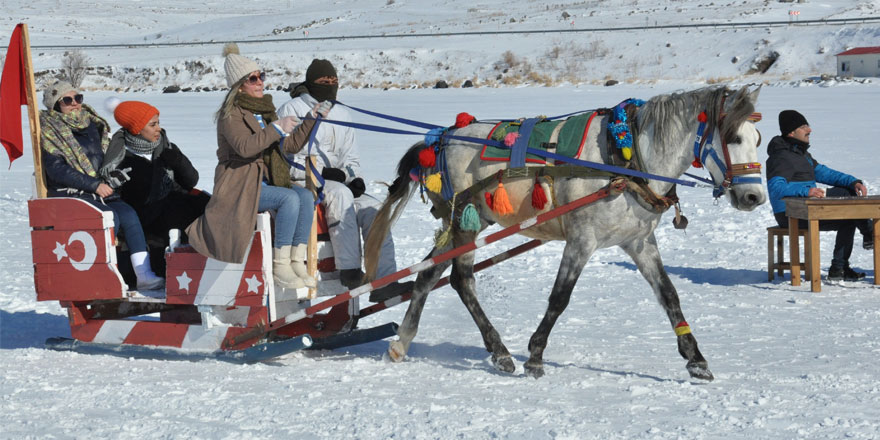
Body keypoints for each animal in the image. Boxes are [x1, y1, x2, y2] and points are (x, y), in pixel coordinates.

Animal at [362, 85, 764, 378]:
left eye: (758, 137)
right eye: (732, 137)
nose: (754, 197)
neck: (627, 158)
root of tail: (440, 139)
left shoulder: (639, 242)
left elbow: (669, 295)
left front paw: (695, 358)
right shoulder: (581, 240)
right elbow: (559, 298)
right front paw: (535, 355)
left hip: (467, 224)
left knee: (429, 274)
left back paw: (403, 342)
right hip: (464, 223)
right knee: (461, 280)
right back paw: (499, 352)